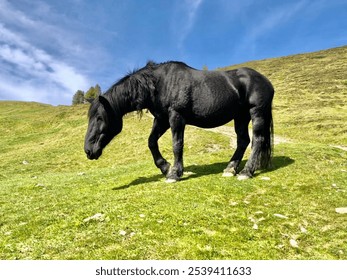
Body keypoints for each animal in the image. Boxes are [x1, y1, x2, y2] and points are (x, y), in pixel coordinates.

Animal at [85, 61, 274, 182]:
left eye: (100, 118)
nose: (88, 150)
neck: (159, 84)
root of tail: (267, 82)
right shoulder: (162, 120)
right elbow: (151, 142)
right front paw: (165, 167)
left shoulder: (176, 117)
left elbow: (177, 145)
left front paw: (174, 173)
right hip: (240, 117)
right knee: (243, 141)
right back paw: (230, 168)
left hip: (256, 113)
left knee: (257, 140)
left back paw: (246, 171)